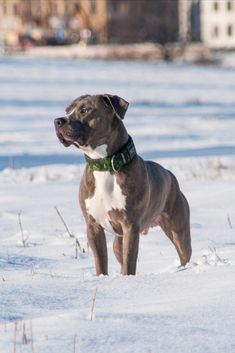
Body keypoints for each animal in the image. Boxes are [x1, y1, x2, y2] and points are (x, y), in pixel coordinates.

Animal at [53, 93, 191, 276]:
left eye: (85, 110)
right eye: (67, 110)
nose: (58, 121)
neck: (104, 164)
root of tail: (170, 175)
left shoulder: (130, 226)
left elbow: (129, 262)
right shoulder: (93, 226)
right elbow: (101, 262)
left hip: (178, 231)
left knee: (184, 253)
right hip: (118, 242)